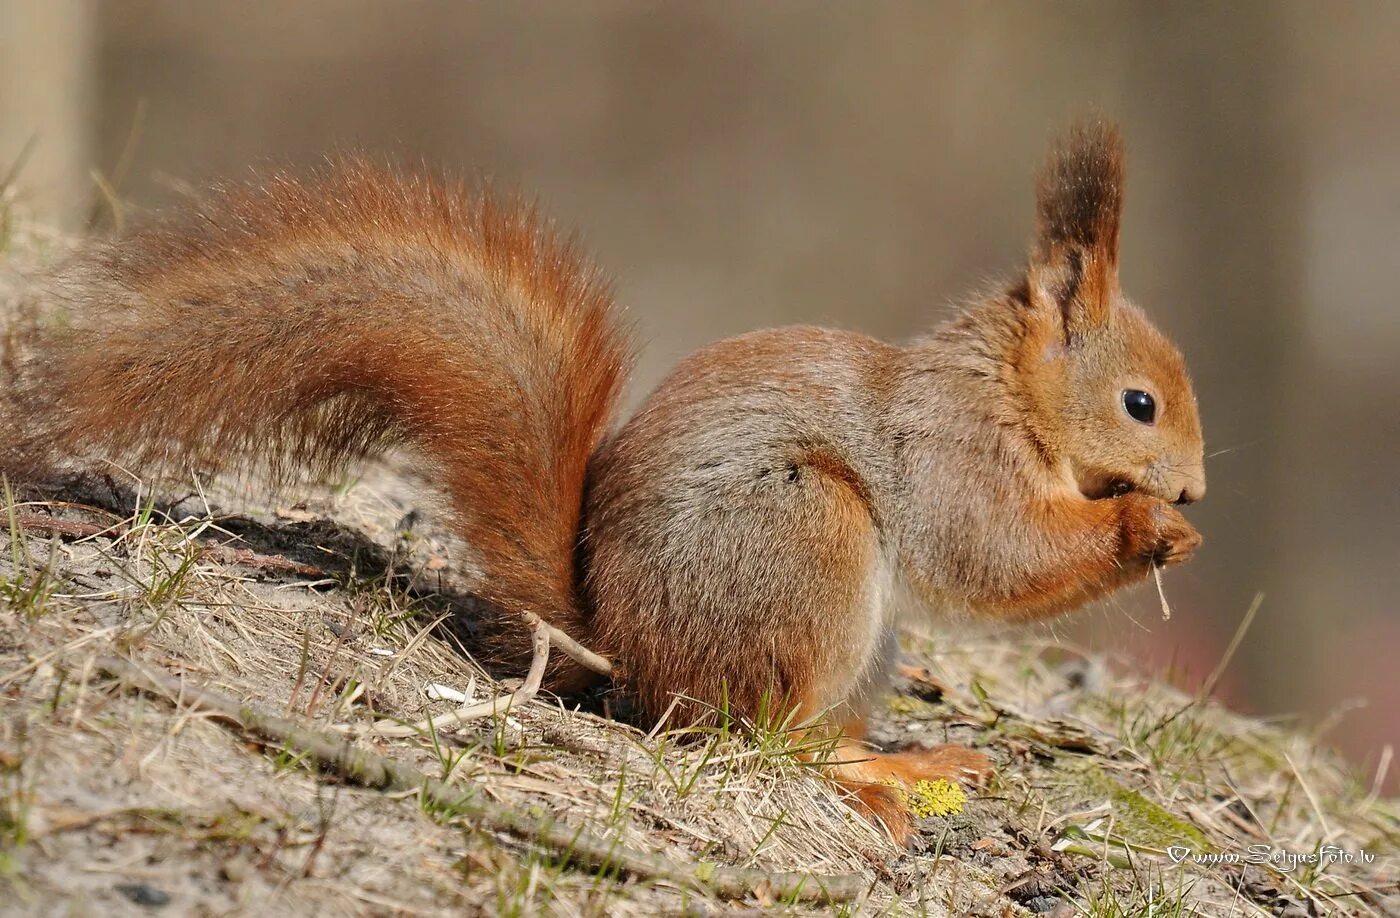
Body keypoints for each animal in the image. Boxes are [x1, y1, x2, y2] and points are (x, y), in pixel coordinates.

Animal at [0, 123, 1204, 845]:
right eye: (1140, 403)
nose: (1192, 492)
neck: (1009, 394)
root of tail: (621, 646)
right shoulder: (952, 456)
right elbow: (996, 554)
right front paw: (1141, 529)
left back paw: (904, 760)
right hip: (804, 538)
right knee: (753, 742)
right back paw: (858, 782)